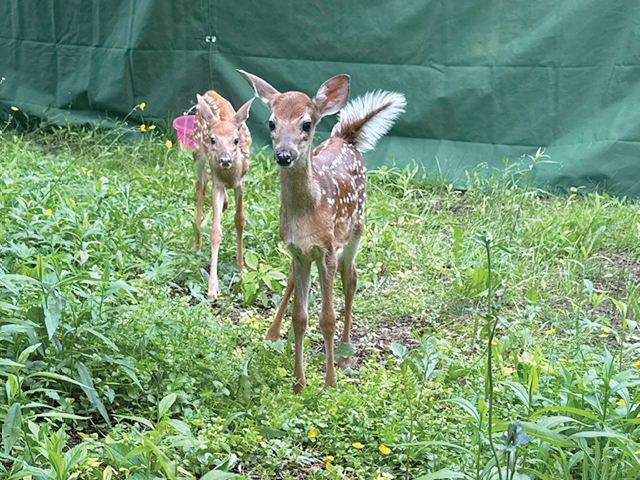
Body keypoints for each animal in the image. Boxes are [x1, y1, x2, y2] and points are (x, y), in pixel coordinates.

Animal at [193, 90, 254, 299]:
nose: (225, 160)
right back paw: (197, 241)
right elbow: (215, 231)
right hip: (197, 152)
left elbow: (240, 220)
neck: (229, 176)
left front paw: (242, 269)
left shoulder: (241, 182)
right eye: (213, 139)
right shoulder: (217, 185)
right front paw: (212, 289)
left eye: (236, 140)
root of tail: (209, 93)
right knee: (201, 183)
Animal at [239, 70, 406, 392]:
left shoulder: (328, 249)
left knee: (351, 279)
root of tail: (345, 137)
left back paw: (344, 357)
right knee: (293, 279)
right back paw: (272, 334)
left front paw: (329, 382)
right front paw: (298, 383)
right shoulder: (298, 251)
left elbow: (327, 318)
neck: (308, 213)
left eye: (306, 123)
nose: (284, 155)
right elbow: (300, 317)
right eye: (271, 122)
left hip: (355, 230)